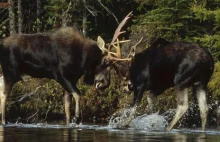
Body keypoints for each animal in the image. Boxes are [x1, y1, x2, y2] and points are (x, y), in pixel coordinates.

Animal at [0, 12, 132, 125]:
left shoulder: (71, 79)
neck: (82, 60)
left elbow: (67, 106)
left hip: (12, 74)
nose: (105, 84)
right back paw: (4, 121)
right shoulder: (61, 76)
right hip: (10, 72)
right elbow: (78, 94)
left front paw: (70, 120)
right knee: (4, 94)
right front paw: (77, 117)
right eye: (105, 61)